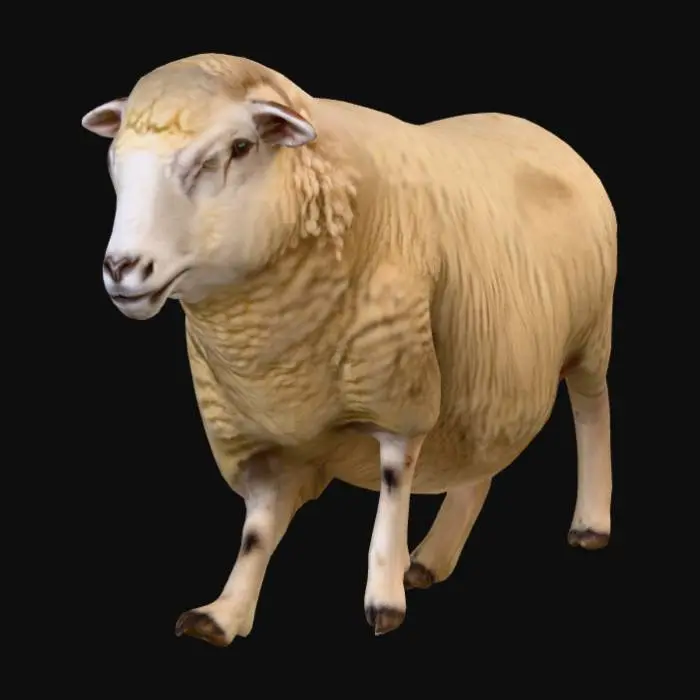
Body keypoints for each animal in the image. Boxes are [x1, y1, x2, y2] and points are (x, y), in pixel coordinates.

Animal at [82, 53, 617, 647]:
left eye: (240, 147)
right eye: (116, 160)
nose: (123, 268)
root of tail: (543, 133)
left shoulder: (399, 392)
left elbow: (392, 489)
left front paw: (384, 599)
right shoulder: (254, 430)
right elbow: (257, 532)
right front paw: (222, 614)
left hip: (588, 337)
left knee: (592, 412)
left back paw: (590, 524)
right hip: (486, 366)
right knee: (481, 461)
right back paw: (432, 558)